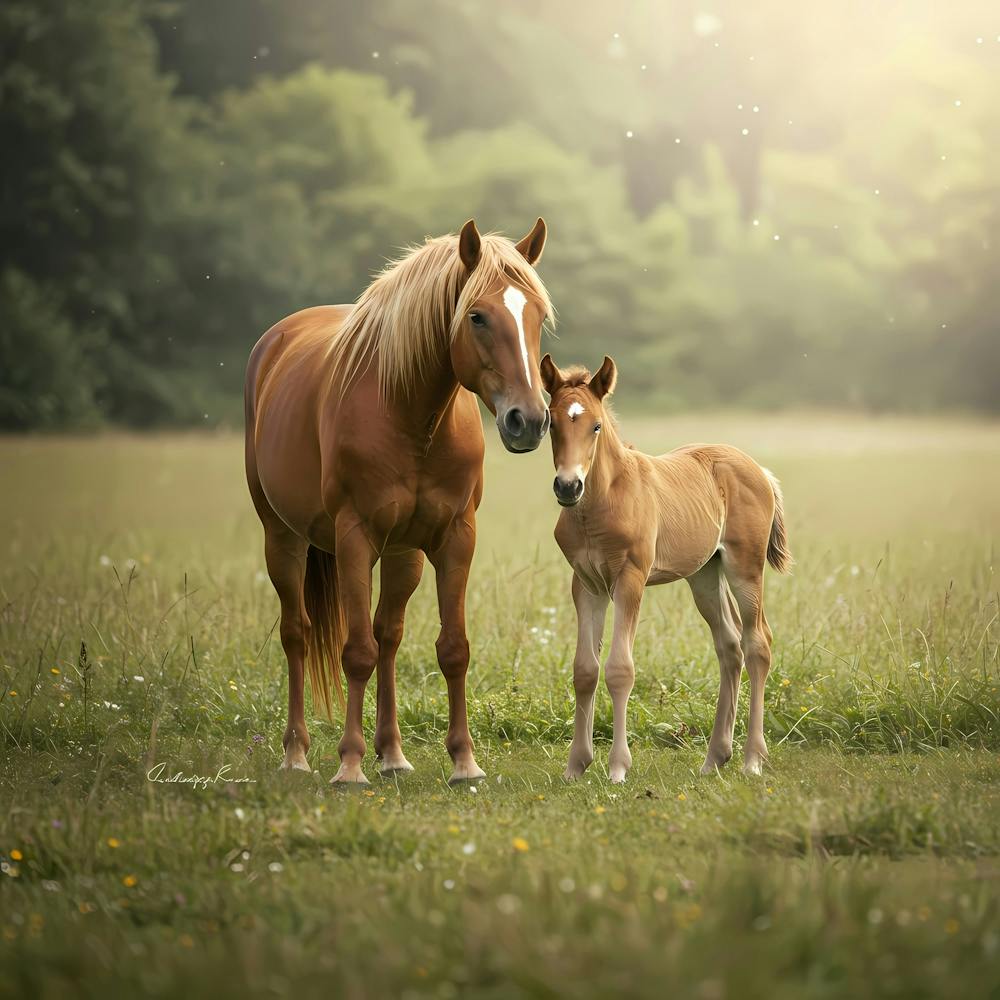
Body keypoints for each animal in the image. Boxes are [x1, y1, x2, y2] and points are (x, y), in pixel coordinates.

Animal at [245, 219, 552, 784]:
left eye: (538, 315)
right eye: (477, 316)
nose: (529, 420)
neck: (411, 415)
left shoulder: (455, 538)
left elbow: (452, 650)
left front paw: (464, 761)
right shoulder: (354, 538)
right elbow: (356, 652)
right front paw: (348, 765)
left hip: (402, 553)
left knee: (389, 635)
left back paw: (392, 754)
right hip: (283, 538)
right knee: (298, 634)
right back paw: (297, 754)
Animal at [538, 354, 792, 782]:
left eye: (596, 425)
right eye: (551, 424)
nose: (568, 487)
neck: (600, 505)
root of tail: (759, 469)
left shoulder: (630, 579)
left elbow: (619, 668)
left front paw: (618, 767)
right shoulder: (586, 584)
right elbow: (584, 670)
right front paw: (576, 765)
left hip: (745, 567)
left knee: (758, 642)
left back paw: (752, 759)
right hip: (704, 574)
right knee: (729, 646)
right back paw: (714, 757)